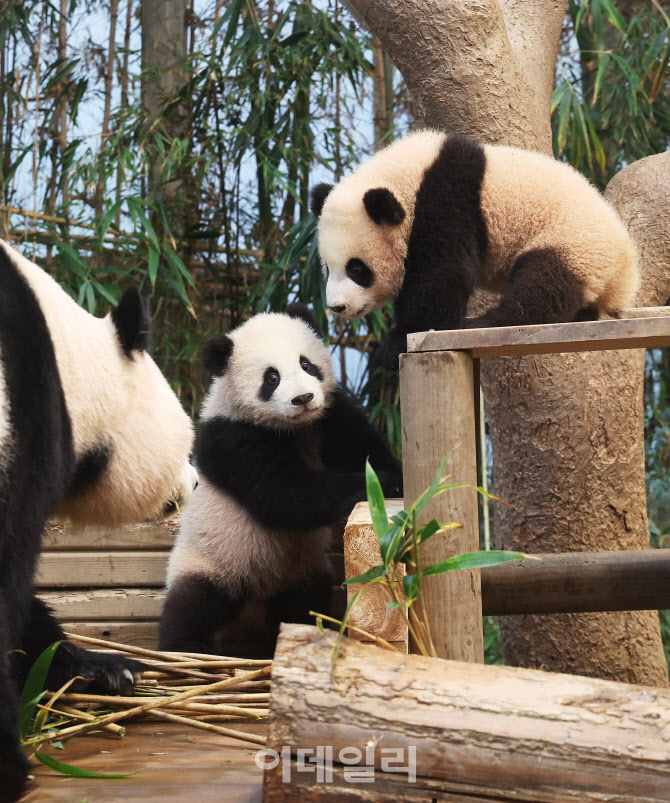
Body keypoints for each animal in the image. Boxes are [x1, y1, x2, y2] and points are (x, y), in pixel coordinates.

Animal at [161, 304, 404, 656]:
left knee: (303, 605)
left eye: (306, 364)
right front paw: (382, 484)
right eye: (271, 378)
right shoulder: (233, 437)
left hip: (300, 573)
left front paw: (395, 474)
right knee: (191, 605)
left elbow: (364, 447)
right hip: (211, 560)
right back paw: (185, 650)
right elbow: (284, 495)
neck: (294, 428)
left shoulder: (329, 416)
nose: (303, 398)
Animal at [312, 131, 644, 368]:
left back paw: (487, 321)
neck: (407, 178)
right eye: (327, 268)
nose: (337, 307)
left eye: (356, 268)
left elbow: (441, 277)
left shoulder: (445, 201)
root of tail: (626, 273)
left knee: (544, 285)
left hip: (575, 241)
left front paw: (396, 343)